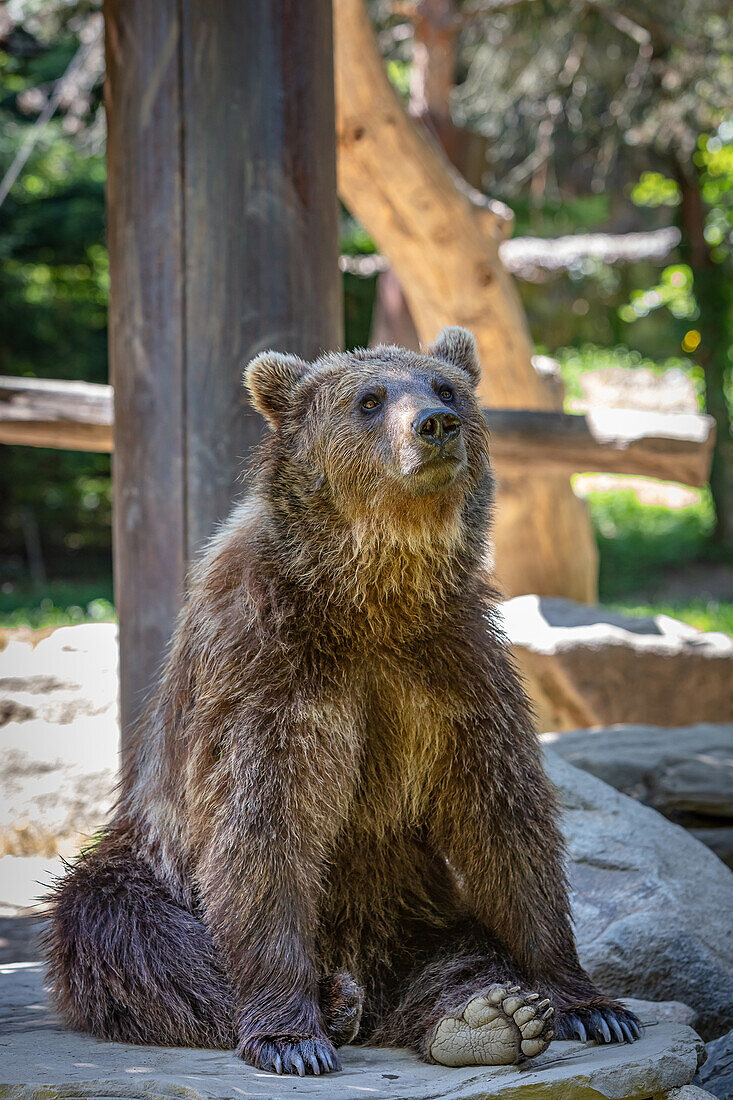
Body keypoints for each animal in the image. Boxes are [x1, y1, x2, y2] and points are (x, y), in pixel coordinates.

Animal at [47, 325, 638, 1073]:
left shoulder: (452, 667)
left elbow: (502, 819)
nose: (434, 424)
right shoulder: (268, 666)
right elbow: (263, 824)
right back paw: (332, 1003)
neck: (369, 595)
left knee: (462, 949)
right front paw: (290, 1037)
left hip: (411, 900)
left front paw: (589, 1002)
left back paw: (486, 1017)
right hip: (148, 865)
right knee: (126, 931)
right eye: (369, 399)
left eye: (445, 387)